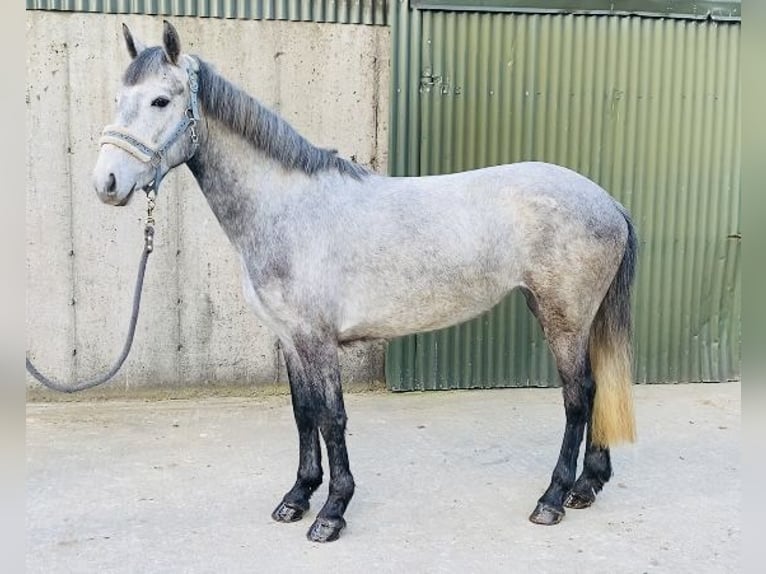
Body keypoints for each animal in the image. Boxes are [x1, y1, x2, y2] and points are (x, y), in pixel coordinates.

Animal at [93, 21, 640, 544]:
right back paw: (587, 486)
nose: (106, 184)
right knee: (595, 389)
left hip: (563, 318)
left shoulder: (317, 341)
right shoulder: (291, 339)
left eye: (161, 100)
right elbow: (303, 413)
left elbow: (331, 418)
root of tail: (607, 201)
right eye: (118, 98)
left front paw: (332, 513)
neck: (286, 207)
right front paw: (297, 496)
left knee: (578, 396)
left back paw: (552, 498)